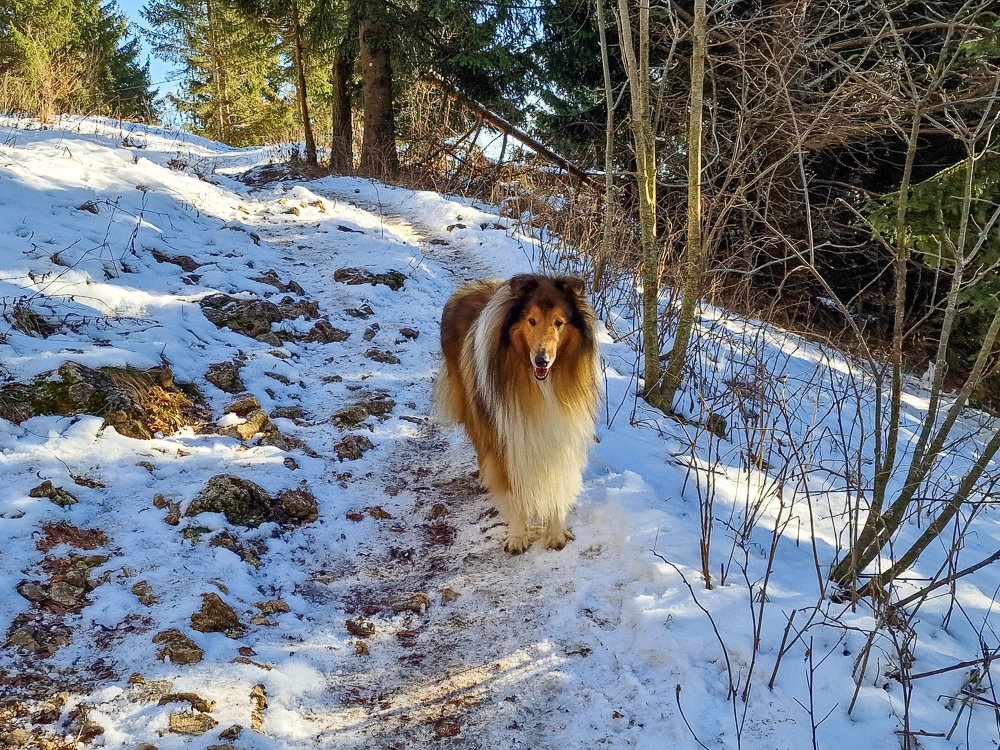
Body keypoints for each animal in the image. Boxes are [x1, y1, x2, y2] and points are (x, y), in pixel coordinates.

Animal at [432, 274, 600, 552]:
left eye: (559, 323)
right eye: (531, 320)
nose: (542, 360)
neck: (541, 386)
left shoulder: (561, 430)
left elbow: (556, 480)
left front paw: (555, 532)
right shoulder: (506, 436)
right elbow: (514, 490)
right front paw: (518, 536)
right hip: (475, 409)